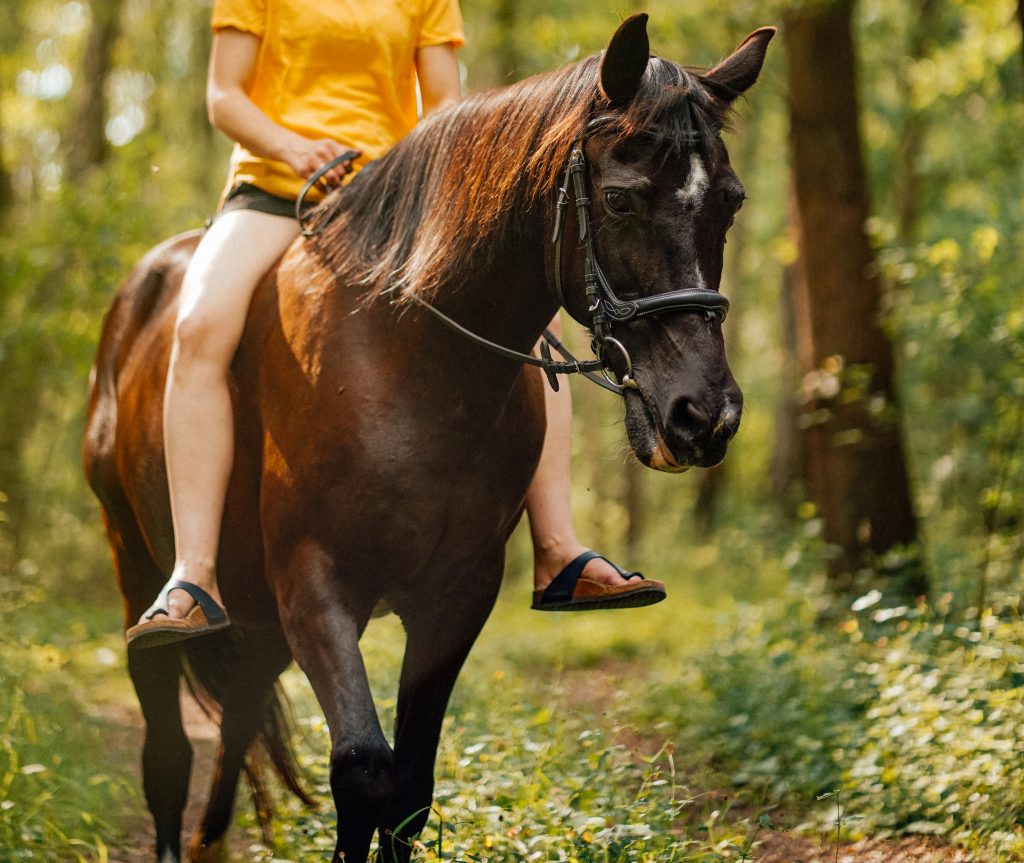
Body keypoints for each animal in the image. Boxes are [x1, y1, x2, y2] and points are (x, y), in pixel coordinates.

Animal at [83, 15, 773, 862]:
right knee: (170, 753)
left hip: (257, 615)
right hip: (135, 559)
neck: (408, 362)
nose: (704, 416)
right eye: (619, 198)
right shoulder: (315, 582)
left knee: (238, 722)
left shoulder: (457, 592)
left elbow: (408, 787)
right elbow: (361, 772)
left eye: (732, 203)